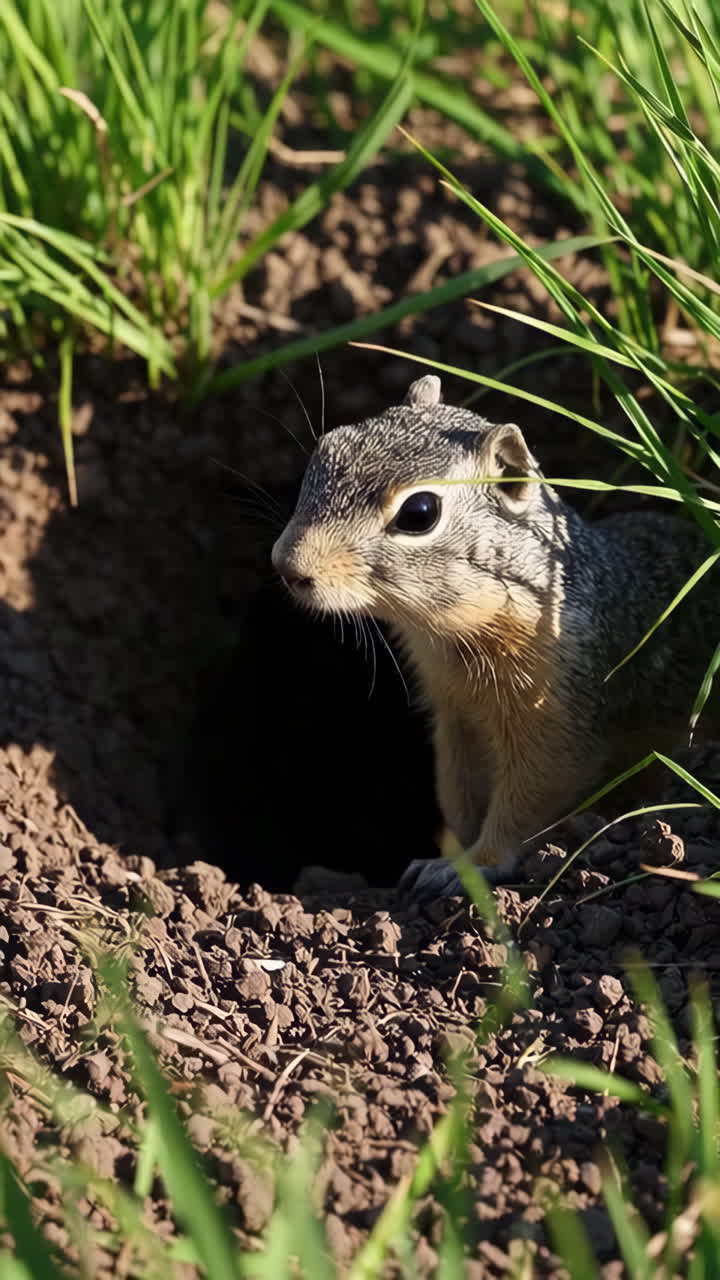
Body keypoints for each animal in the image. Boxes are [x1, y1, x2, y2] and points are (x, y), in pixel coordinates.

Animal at [272, 373, 718, 899]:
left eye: (420, 512)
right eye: (328, 446)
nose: (288, 565)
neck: (454, 632)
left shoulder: (554, 717)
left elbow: (528, 799)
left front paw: (472, 866)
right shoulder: (454, 719)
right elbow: (459, 795)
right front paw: (445, 858)